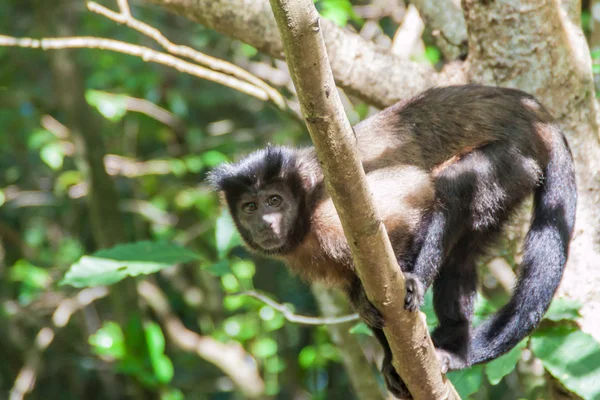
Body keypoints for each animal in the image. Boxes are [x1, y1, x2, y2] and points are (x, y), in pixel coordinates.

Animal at [207, 84, 576, 396]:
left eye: (274, 201)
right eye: (250, 207)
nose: (265, 222)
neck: (306, 211)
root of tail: (534, 110)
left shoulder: (332, 210)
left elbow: (419, 193)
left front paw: (411, 282)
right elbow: (359, 292)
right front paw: (388, 357)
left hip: (514, 157)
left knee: (453, 185)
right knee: (462, 255)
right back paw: (455, 345)